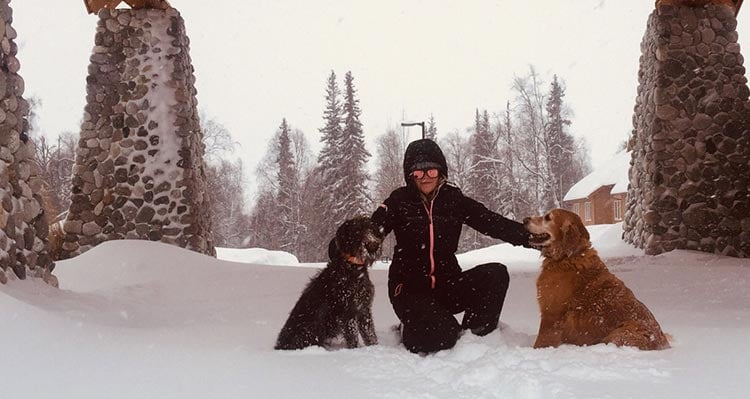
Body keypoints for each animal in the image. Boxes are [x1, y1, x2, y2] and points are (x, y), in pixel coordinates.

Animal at [274, 216, 384, 350]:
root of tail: (279, 346)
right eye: (357, 231)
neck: (354, 270)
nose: (373, 245)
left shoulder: (364, 309)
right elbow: (353, 338)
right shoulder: (348, 312)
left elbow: (370, 335)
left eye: (372, 230)